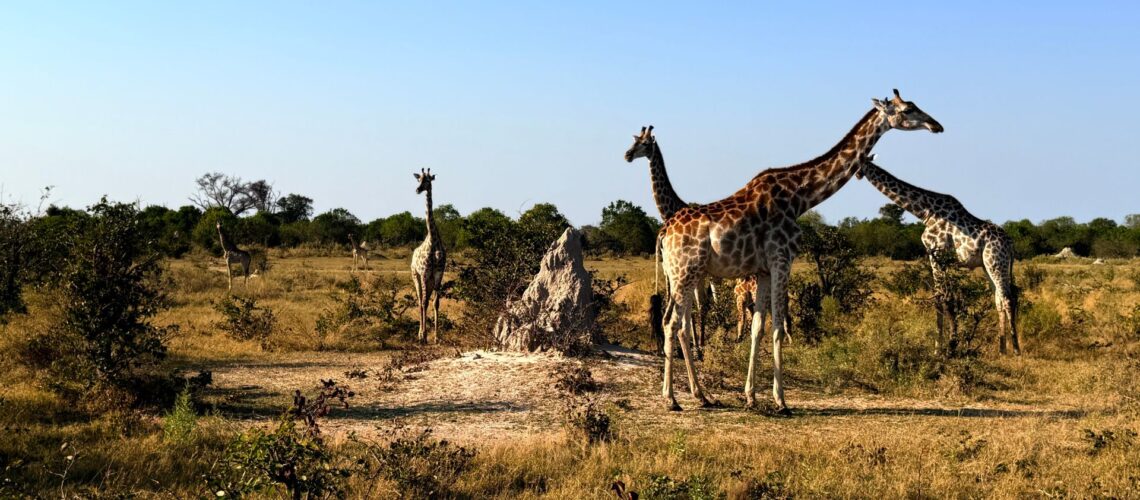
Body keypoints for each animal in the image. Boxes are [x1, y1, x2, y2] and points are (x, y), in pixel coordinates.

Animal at [657, 89, 943, 412]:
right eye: (908, 109)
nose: (936, 125)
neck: (800, 198)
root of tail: (665, 231)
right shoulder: (783, 259)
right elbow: (779, 327)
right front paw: (781, 401)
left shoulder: (764, 269)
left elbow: (759, 328)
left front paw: (751, 397)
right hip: (685, 271)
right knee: (672, 323)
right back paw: (671, 399)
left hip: (684, 274)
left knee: (678, 323)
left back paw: (701, 396)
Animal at [856, 155, 1020, 354]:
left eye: (856, 164)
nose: (857, 174)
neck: (924, 211)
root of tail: (1010, 244)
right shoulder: (937, 257)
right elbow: (941, 298)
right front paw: (941, 345)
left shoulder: (937, 253)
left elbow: (941, 298)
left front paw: (942, 348)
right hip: (988, 265)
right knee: (999, 299)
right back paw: (1001, 349)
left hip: (996, 261)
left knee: (1007, 298)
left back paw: (1016, 350)